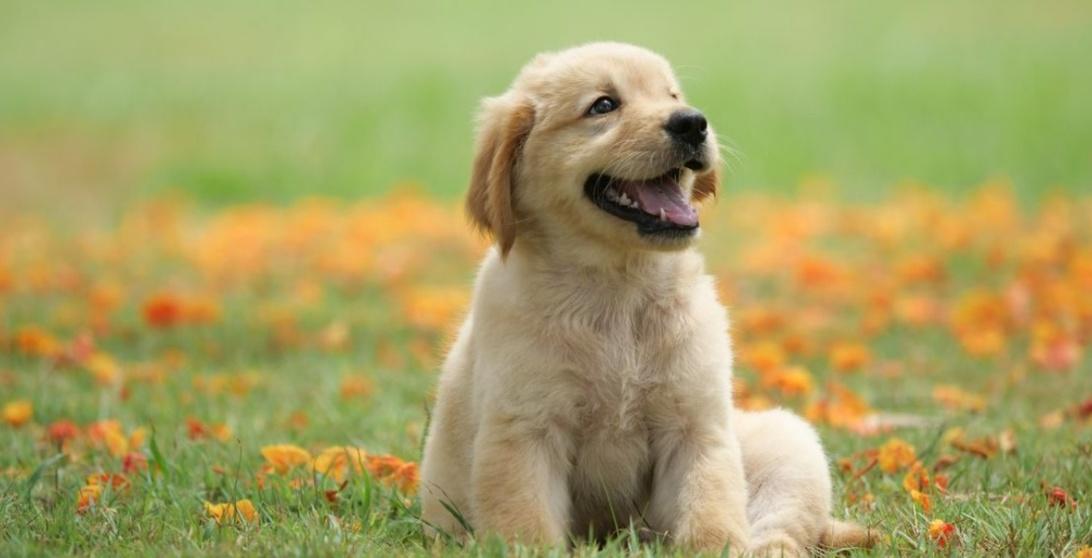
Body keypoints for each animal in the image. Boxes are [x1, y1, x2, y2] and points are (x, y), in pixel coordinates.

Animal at [417, 41, 869, 556]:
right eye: (603, 105)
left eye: (672, 95)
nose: (693, 122)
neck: (619, 289)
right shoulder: (524, 431)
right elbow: (527, 526)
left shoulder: (696, 428)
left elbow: (709, 514)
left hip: (787, 442)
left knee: (784, 529)